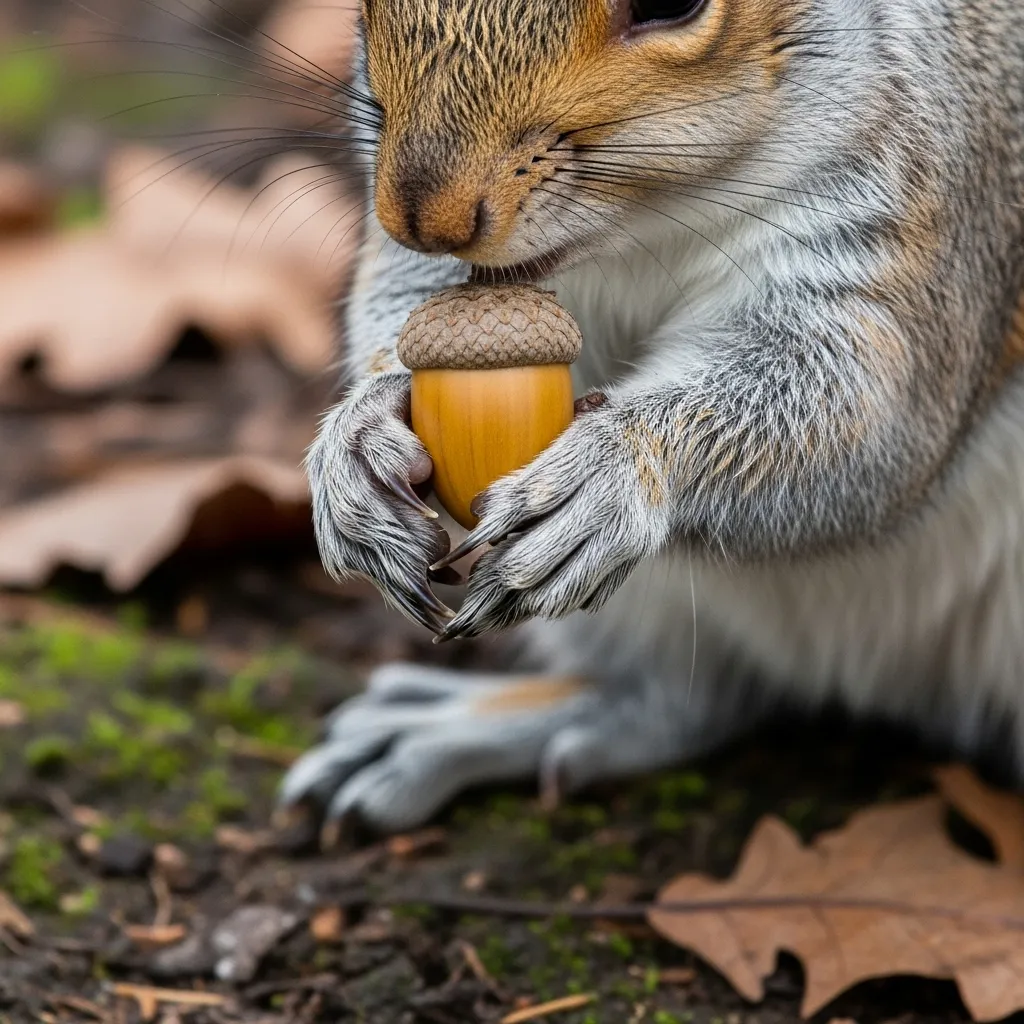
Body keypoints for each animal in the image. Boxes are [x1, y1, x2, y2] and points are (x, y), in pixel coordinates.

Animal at [279, 0, 1024, 832]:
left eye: (672, 7)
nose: (423, 216)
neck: (653, 225)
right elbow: (401, 300)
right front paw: (357, 442)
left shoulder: (925, 221)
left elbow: (868, 418)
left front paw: (611, 472)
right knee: (687, 697)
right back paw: (472, 726)